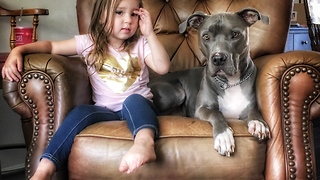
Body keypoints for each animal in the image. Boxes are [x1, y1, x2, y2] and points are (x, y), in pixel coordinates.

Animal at [149, 7, 272, 156]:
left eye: (235, 34)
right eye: (206, 37)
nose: (218, 58)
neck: (230, 83)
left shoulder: (249, 106)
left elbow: (254, 111)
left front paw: (258, 122)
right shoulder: (202, 109)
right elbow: (216, 113)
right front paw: (223, 136)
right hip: (177, 93)